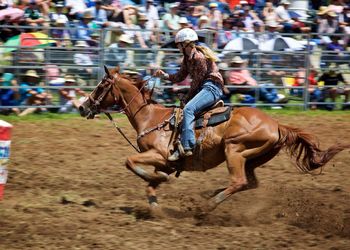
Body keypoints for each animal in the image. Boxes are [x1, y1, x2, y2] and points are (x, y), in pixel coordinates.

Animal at [79, 66, 350, 211]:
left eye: (101, 85)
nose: (82, 107)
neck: (150, 117)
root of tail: (277, 125)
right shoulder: (164, 161)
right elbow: (149, 184)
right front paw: (155, 205)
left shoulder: (159, 155)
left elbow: (130, 162)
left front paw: (158, 180)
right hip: (253, 158)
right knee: (250, 183)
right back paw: (210, 196)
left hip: (234, 150)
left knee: (239, 182)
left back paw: (208, 205)